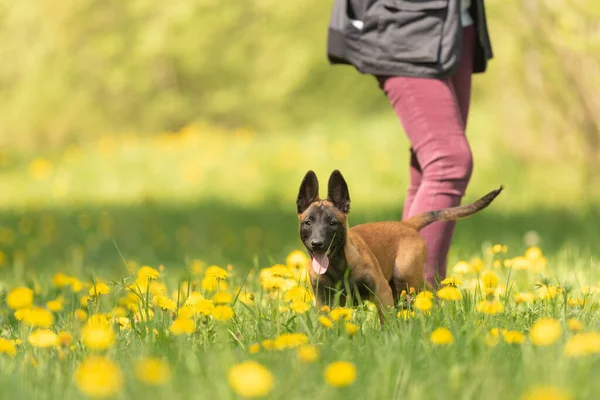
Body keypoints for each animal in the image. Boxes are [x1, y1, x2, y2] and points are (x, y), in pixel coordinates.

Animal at [296, 169, 502, 322]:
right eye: (308, 223)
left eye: (332, 223)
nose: (317, 244)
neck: (338, 266)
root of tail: (406, 225)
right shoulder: (324, 299)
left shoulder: (381, 291)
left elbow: (386, 321)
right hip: (400, 288)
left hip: (407, 278)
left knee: (429, 291)